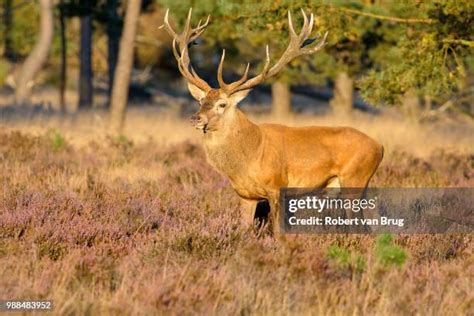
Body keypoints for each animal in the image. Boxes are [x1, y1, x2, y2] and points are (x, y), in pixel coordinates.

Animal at [163, 8, 386, 235]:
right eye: (201, 100)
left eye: (222, 104)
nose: (195, 118)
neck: (249, 156)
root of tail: (380, 146)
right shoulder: (245, 195)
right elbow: (245, 230)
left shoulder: (277, 185)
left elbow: (279, 232)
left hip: (355, 178)